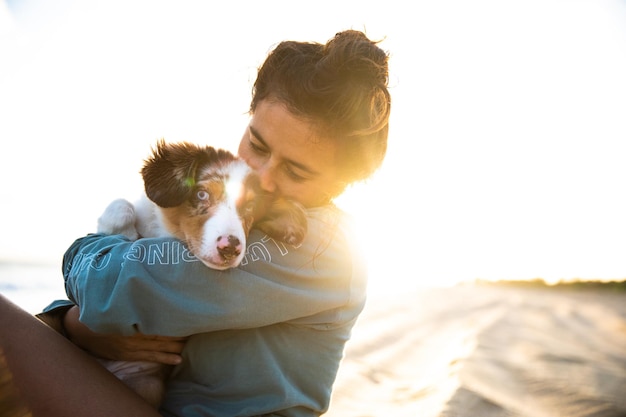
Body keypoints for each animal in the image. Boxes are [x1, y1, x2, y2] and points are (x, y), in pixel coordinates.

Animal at [95, 139, 308, 404]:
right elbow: (122, 206)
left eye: (251, 206)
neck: (168, 233)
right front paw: (123, 231)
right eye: (202, 194)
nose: (230, 247)